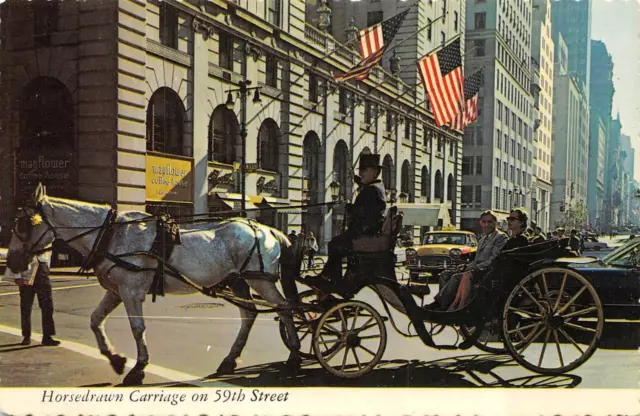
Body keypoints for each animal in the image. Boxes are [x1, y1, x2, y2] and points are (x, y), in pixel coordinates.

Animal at [7, 184, 302, 386]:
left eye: (23, 224)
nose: (10, 260)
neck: (110, 234)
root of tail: (268, 229)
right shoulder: (116, 291)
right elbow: (95, 320)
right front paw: (115, 359)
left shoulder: (131, 291)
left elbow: (137, 328)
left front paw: (138, 368)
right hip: (238, 281)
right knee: (249, 315)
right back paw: (230, 360)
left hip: (259, 280)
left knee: (285, 308)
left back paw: (295, 356)